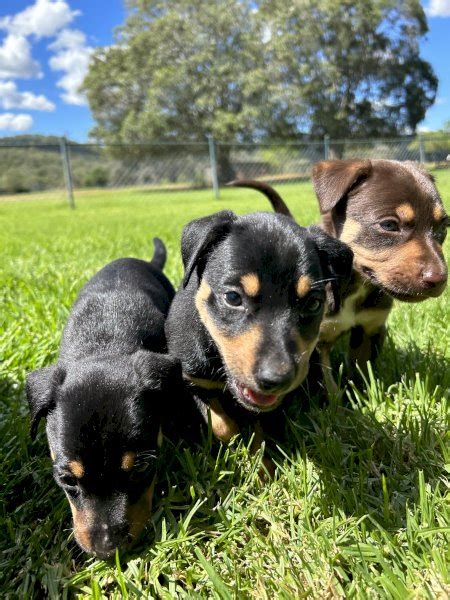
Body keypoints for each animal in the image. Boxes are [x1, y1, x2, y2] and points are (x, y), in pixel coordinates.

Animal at [163, 209, 354, 442]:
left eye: (313, 304)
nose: (277, 379)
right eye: (233, 297)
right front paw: (235, 436)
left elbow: (262, 435)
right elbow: (220, 425)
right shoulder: (194, 380)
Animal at [230, 159, 448, 384]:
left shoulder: (370, 328)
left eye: (443, 227)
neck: (354, 286)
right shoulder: (313, 341)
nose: (439, 279)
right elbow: (326, 385)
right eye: (389, 225)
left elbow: (360, 375)